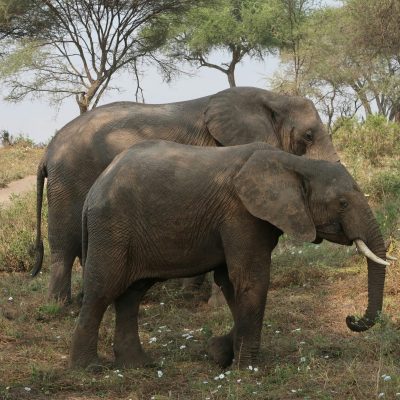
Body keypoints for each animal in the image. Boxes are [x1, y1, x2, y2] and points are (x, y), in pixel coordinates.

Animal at [31, 86, 340, 302]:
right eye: (308, 136)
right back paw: (60, 306)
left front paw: (190, 295)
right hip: (69, 178)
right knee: (64, 242)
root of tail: (48, 152)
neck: (272, 98)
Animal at [70, 141, 390, 372]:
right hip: (111, 225)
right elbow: (251, 279)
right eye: (343, 203)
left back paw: (139, 365)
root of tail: (94, 189)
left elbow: (230, 281)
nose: (351, 318)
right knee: (102, 289)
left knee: (132, 294)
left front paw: (219, 353)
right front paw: (246, 369)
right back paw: (89, 369)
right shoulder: (241, 213)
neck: (294, 163)